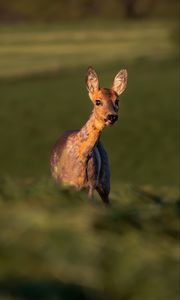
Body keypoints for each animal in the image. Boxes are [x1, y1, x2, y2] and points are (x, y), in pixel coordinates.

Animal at [50, 67, 127, 204]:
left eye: (117, 101)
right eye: (98, 101)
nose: (112, 116)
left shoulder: (90, 185)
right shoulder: (64, 184)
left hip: (105, 179)